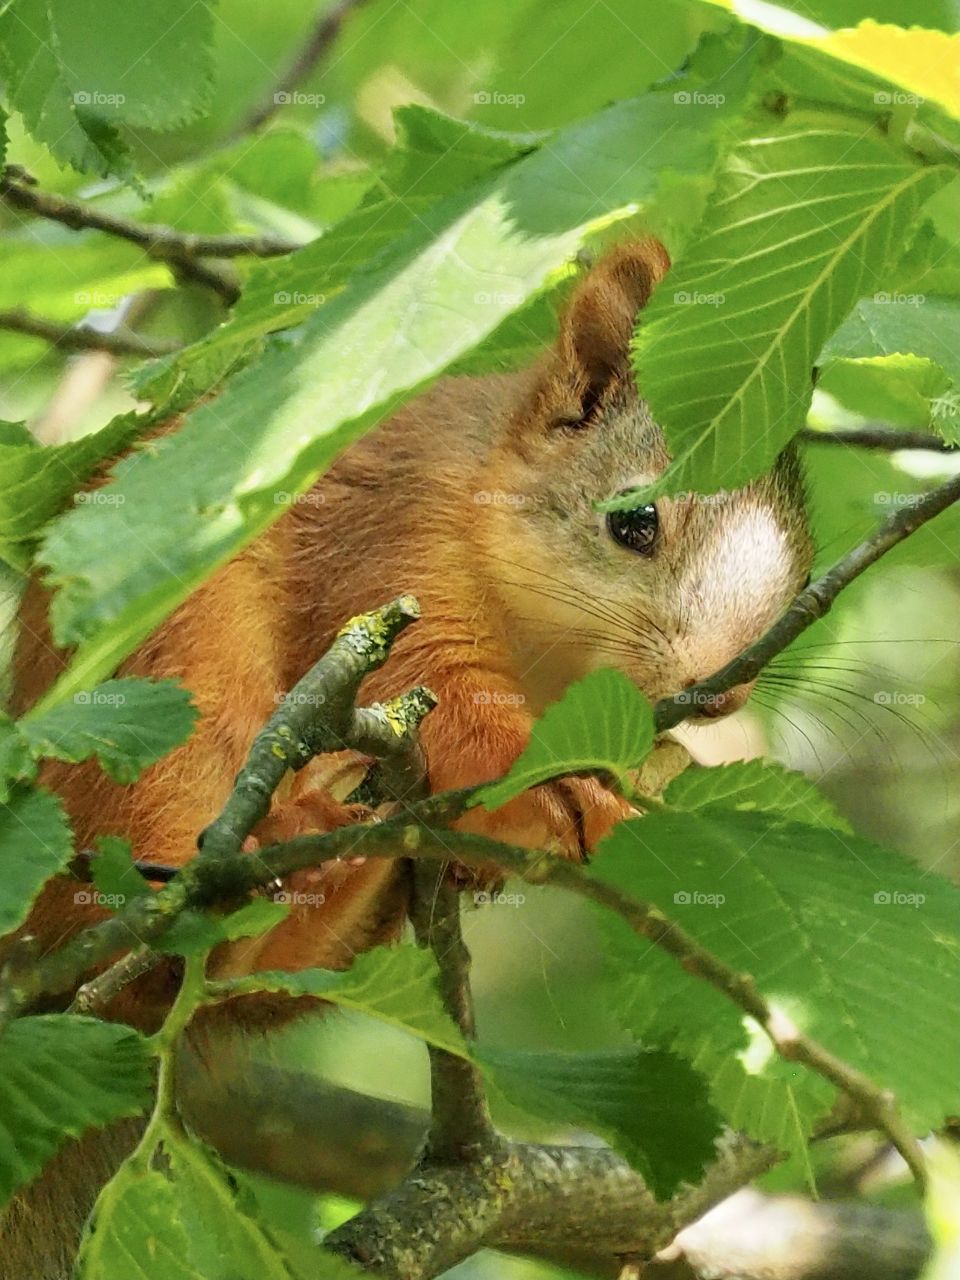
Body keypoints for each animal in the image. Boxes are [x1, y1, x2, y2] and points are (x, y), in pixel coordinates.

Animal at [2, 238, 814, 1277]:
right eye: (632, 522)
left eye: (803, 544)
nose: (722, 691)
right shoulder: (394, 543)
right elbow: (456, 706)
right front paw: (577, 796)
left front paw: (640, 777)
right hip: (164, 702)